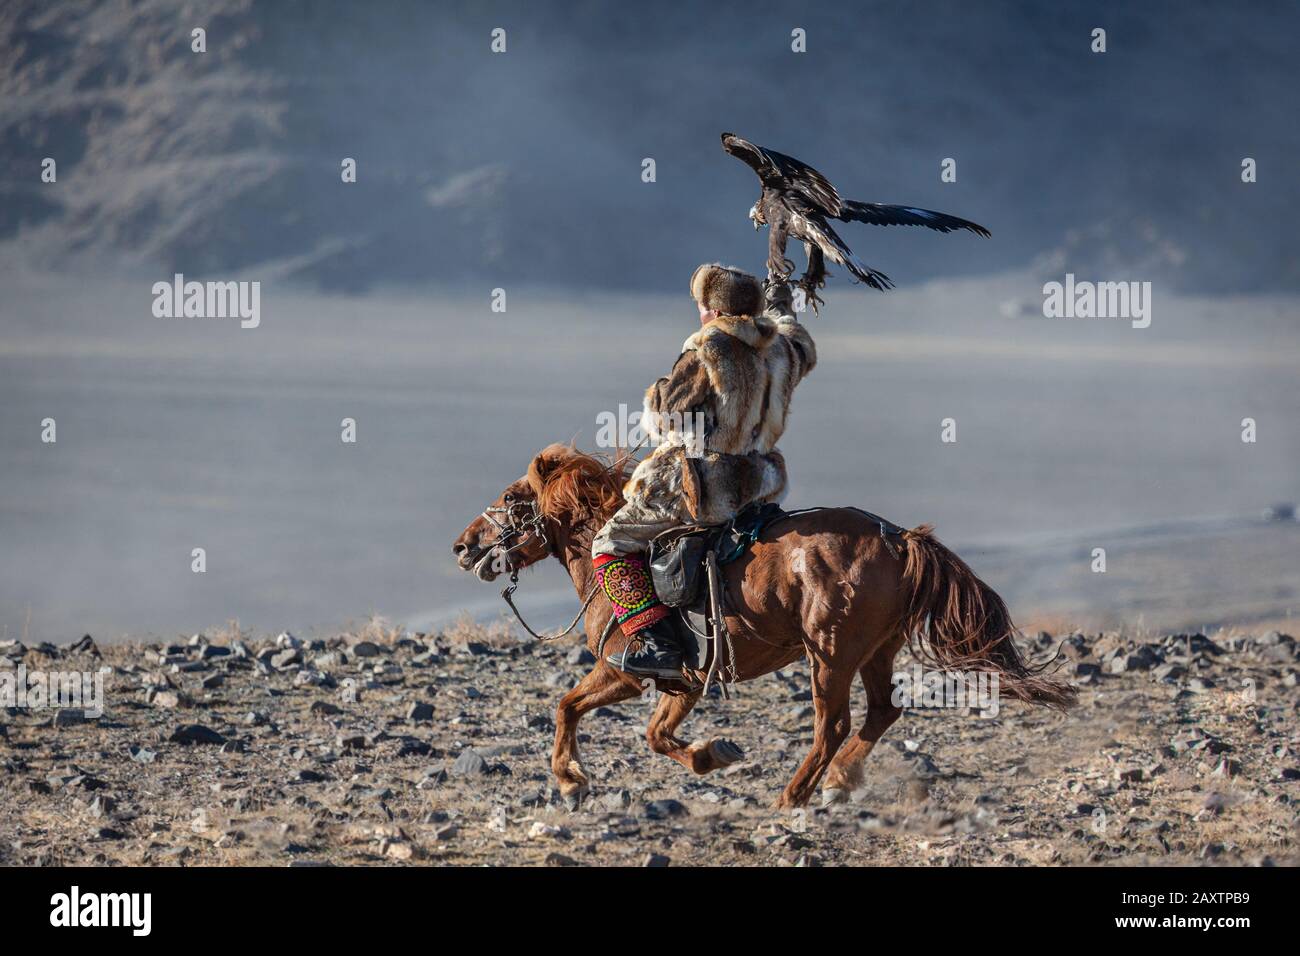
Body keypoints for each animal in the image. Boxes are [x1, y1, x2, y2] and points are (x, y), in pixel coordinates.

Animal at [452, 443, 1075, 809]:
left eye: (510, 497)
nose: (463, 546)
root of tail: (900, 538)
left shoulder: (625, 672)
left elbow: (567, 706)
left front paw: (570, 778)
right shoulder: (684, 681)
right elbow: (657, 735)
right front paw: (712, 754)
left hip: (830, 654)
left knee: (833, 725)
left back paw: (795, 795)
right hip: (874, 650)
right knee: (882, 711)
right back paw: (839, 781)